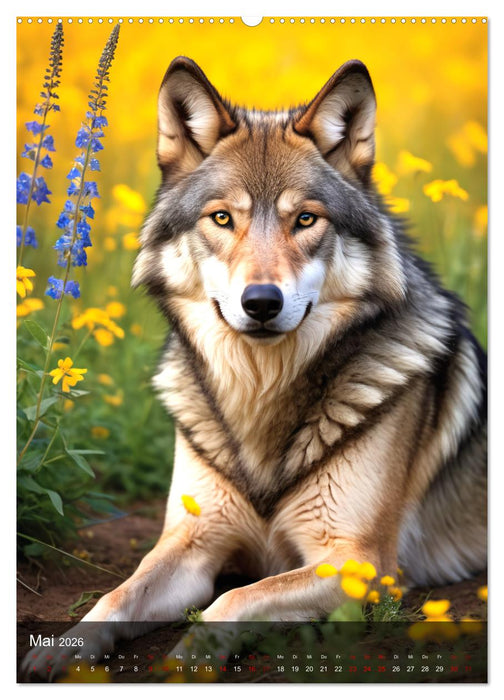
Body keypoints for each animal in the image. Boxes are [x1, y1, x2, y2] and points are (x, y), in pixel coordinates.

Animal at [24, 57, 486, 676]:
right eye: (222, 218)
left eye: (306, 220)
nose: (261, 302)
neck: (260, 396)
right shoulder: (193, 542)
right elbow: (117, 594)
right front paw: (63, 650)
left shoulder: (359, 563)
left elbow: (233, 599)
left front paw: (183, 666)